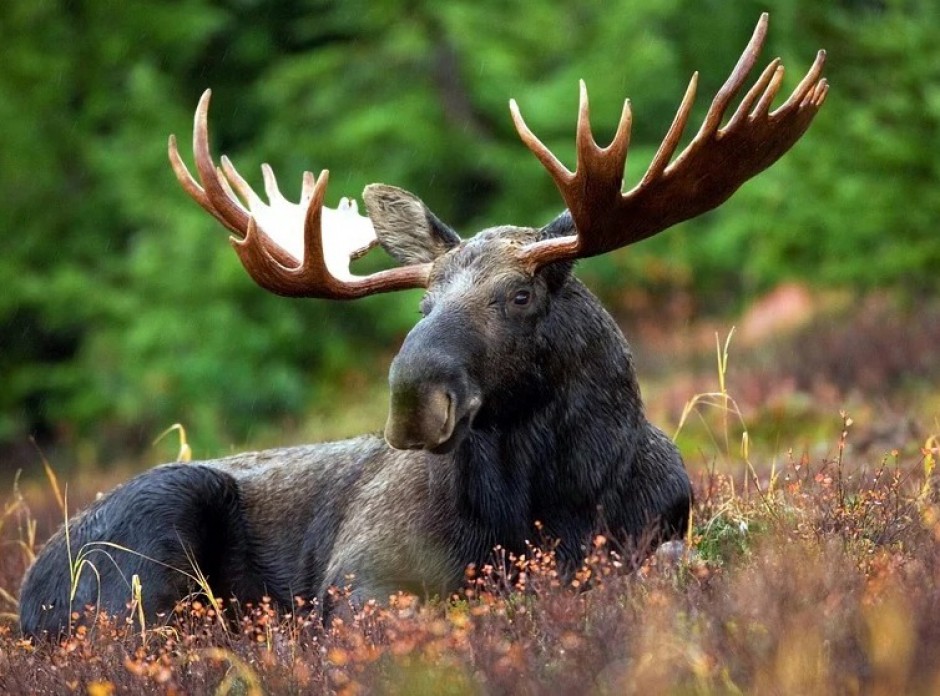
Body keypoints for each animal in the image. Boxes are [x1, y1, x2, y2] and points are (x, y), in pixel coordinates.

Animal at [18, 14, 828, 640]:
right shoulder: (360, 577)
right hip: (150, 539)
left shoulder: (659, 531)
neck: (551, 502)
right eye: (422, 305)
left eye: (519, 295)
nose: (413, 398)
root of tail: (27, 593)